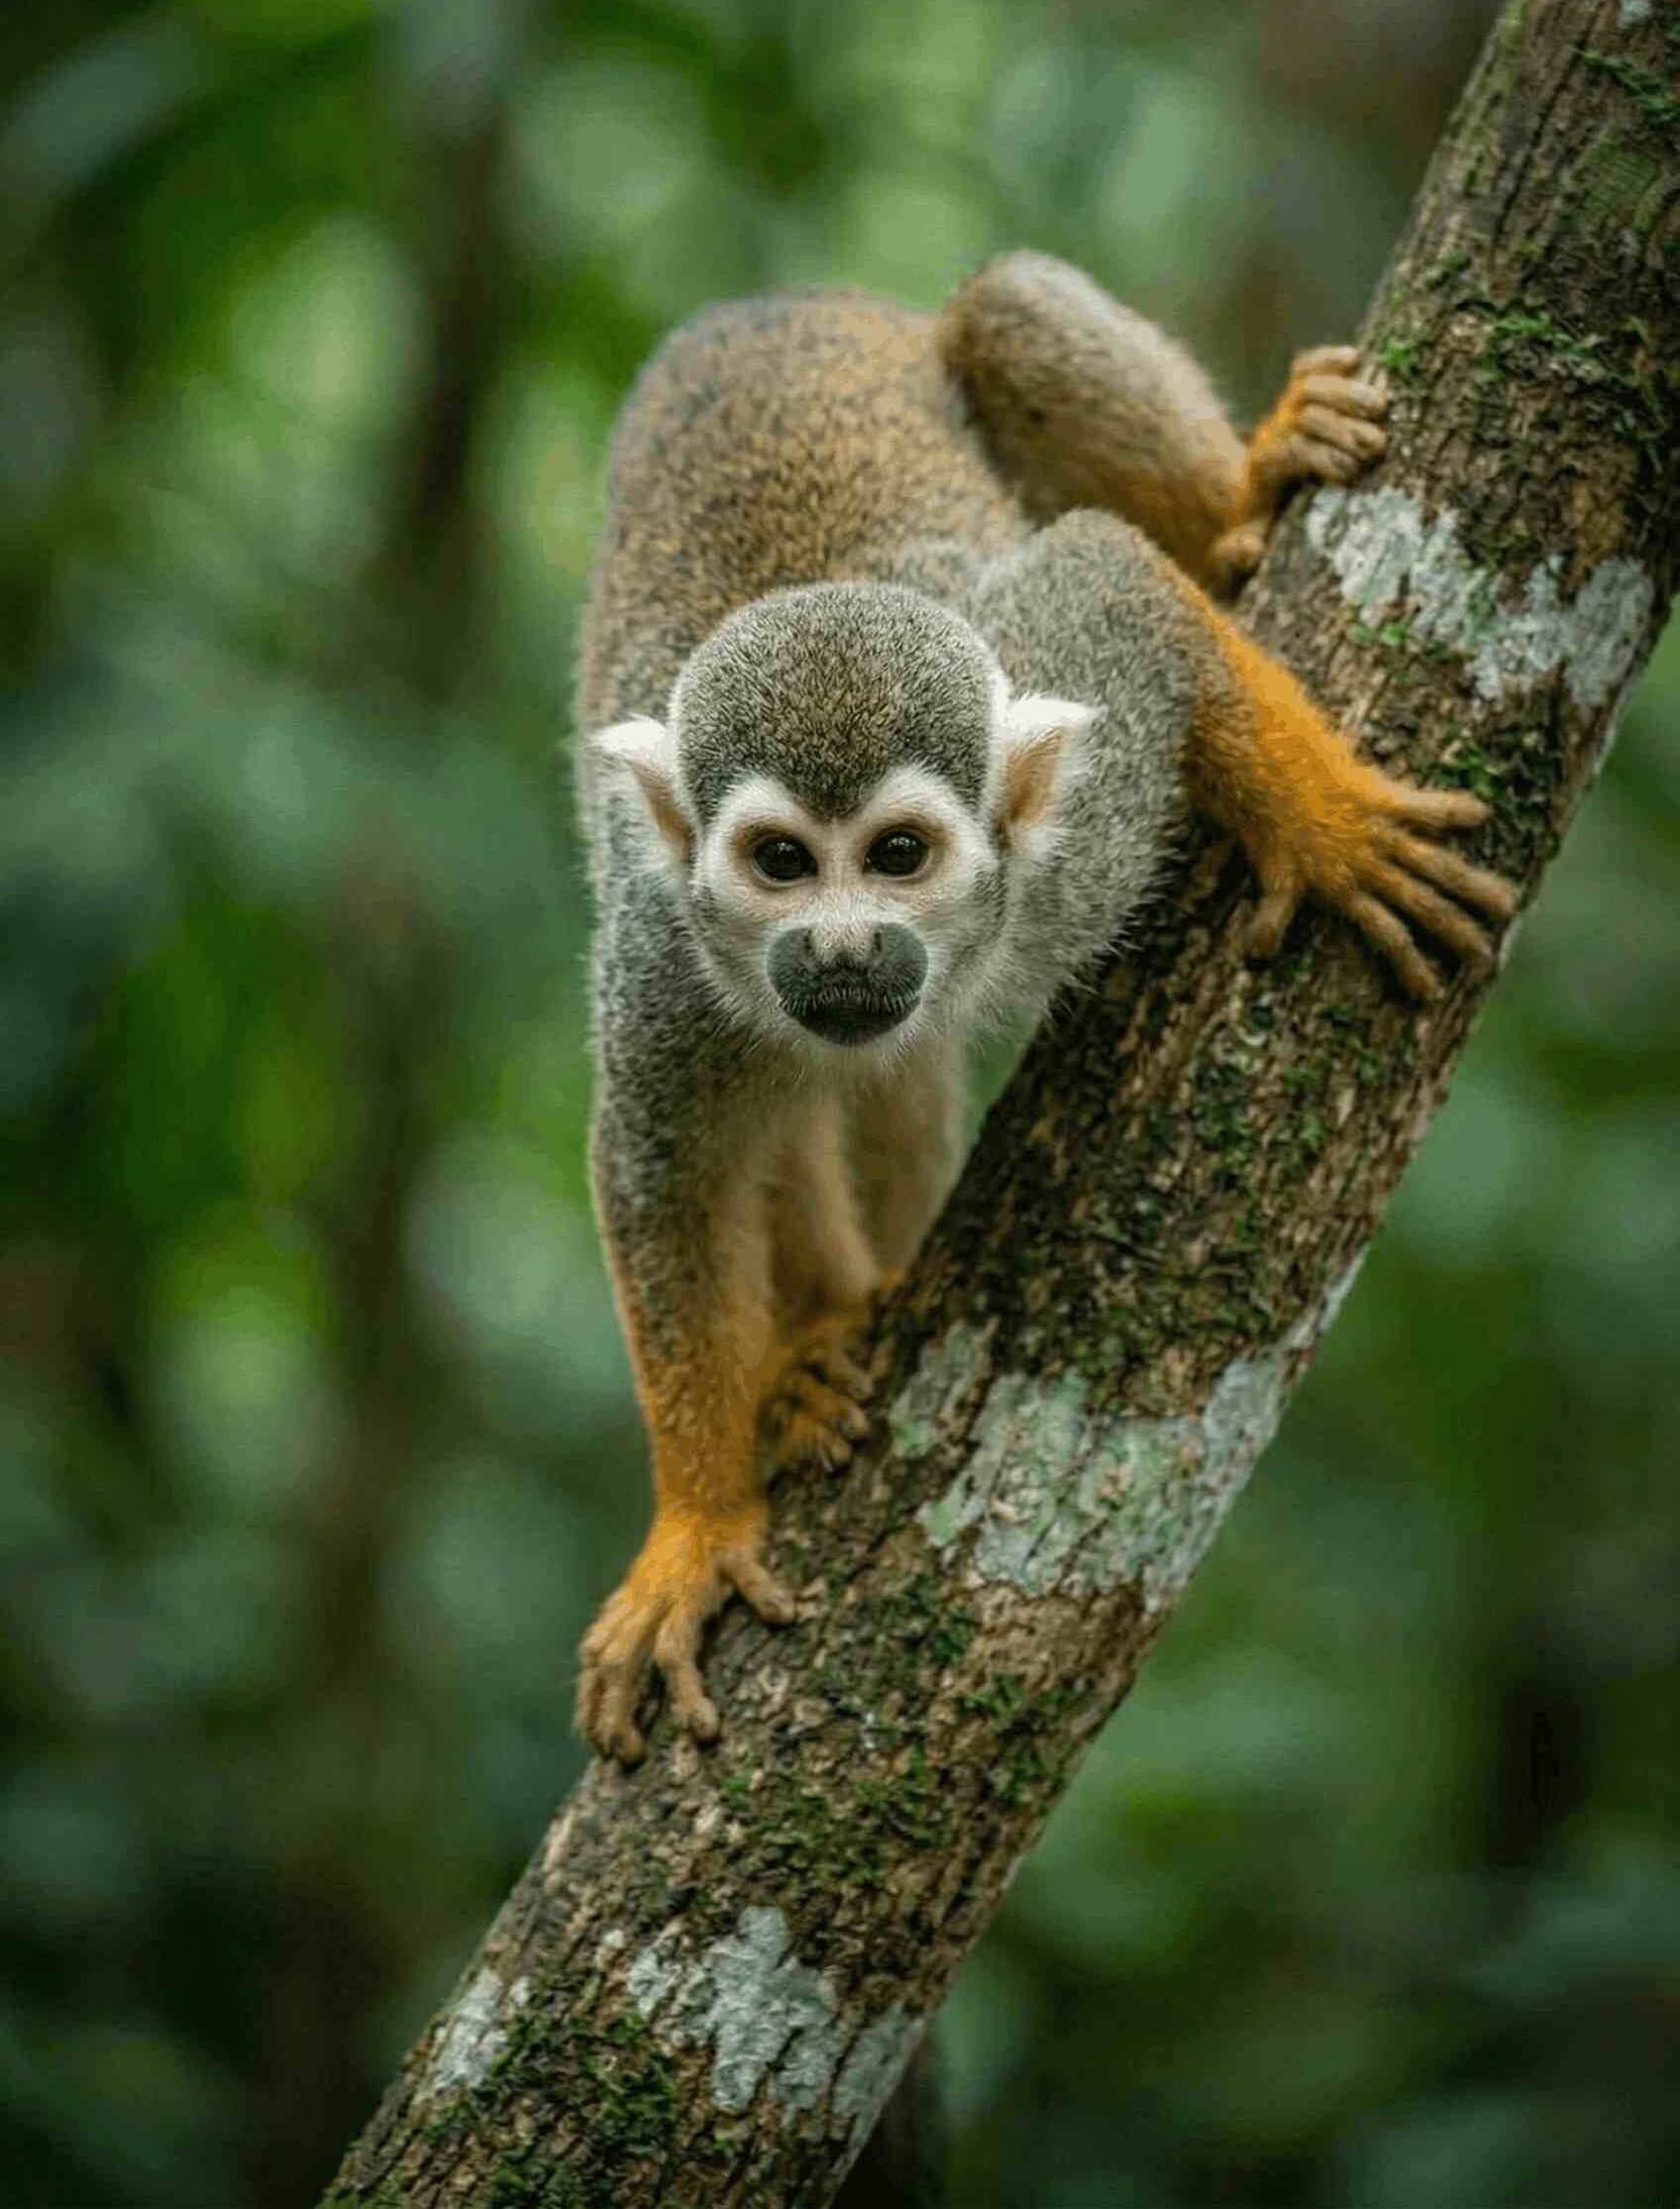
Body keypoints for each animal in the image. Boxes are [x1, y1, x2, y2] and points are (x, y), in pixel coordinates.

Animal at [572, 252, 1516, 1765]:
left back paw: (1246, 487)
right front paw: (697, 1524)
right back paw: (807, 1355)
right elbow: (670, 1171)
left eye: (899, 853)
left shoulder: (1084, 799)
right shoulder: (670, 957)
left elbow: (1110, 577)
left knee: (1007, 306)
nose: (844, 948)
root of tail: (766, 304)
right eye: (781, 864)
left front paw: (1323, 826)